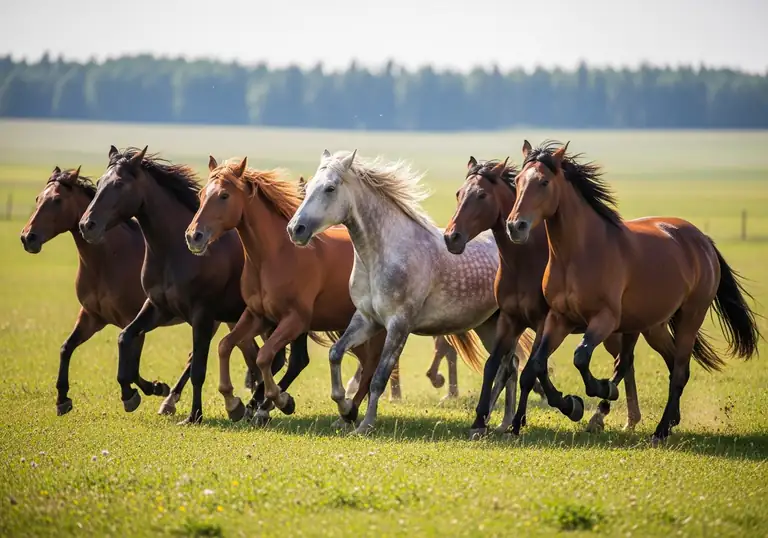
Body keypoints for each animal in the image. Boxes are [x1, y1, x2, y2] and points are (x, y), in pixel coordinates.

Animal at [78, 146, 285, 424]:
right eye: (99, 183)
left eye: (119, 184)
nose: (87, 225)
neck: (174, 252)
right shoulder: (158, 308)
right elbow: (125, 337)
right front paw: (136, 393)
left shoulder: (202, 315)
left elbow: (198, 367)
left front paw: (195, 414)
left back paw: (258, 404)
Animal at [287, 150, 533, 434]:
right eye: (308, 188)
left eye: (330, 188)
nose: (295, 229)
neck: (383, 254)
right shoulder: (367, 320)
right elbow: (335, 354)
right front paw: (346, 409)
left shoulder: (398, 325)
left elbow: (379, 377)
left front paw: (365, 424)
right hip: (488, 325)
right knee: (510, 366)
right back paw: (502, 423)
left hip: (504, 323)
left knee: (507, 366)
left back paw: (493, 422)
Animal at [445, 157, 642, 435]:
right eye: (459, 193)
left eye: (481, 195)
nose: (451, 237)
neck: (524, 262)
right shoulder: (511, 320)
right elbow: (497, 366)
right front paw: (480, 421)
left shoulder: (542, 322)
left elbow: (531, 370)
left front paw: (528, 418)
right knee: (625, 361)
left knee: (626, 362)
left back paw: (614, 413)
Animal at [506, 140, 761, 441]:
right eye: (518, 181)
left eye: (544, 182)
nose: (515, 226)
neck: (579, 253)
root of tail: (702, 240)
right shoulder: (559, 319)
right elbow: (537, 364)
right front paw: (568, 406)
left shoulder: (605, 319)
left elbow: (581, 357)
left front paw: (601, 390)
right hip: (653, 326)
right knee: (667, 362)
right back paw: (666, 420)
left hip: (690, 317)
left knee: (678, 371)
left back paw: (660, 430)